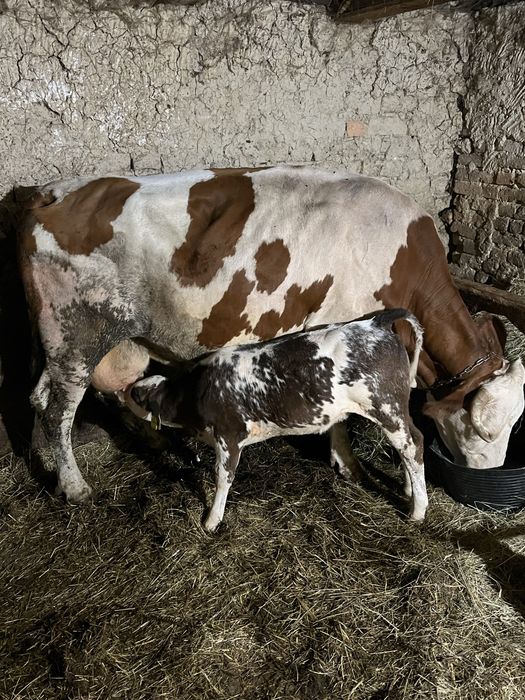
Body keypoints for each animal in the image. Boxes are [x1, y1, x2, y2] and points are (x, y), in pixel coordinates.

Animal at [16, 165, 525, 503]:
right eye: (482, 432)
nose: (492, 472)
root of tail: (54, 190)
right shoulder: (340, 334)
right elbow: (341, 414)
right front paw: (349, 465)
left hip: (100, 341)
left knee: (84, 394)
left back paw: (155, 442)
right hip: (75, 337)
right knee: (56, 411)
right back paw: (75, 486)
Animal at [122, 309, 428, 530]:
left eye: (137, 394)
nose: (123, 389)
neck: (196, 391)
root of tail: (375, 323)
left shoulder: (229, 436)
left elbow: (223, 477)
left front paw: (211, 521)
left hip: (385, 405)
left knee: (414, 444)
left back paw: (418, 510)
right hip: (394, 409)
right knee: (405, 448)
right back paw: (408, 490)